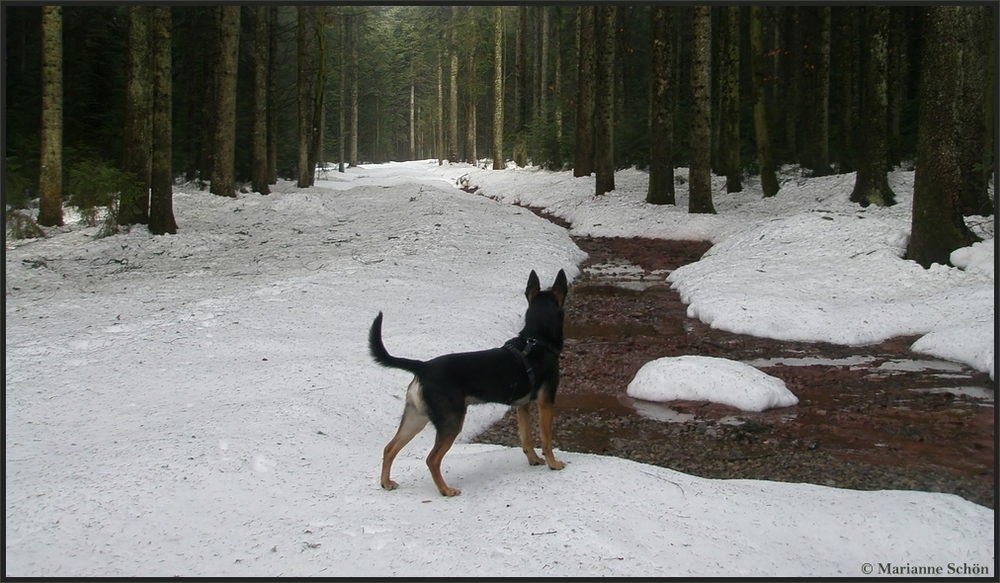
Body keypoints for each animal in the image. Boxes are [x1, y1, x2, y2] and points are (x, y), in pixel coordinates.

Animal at [370, 270, 572, 498]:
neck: (537, 339)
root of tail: (423, 367)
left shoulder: (523, 405)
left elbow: (526, 437)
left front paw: (534, 460)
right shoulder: (546, 401)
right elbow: (546, 438)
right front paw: (553, 464)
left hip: (416, 418)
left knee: (390, 448)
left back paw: (386, 482)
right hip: (451, 421)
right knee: (432, 459)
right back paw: (446, 490)